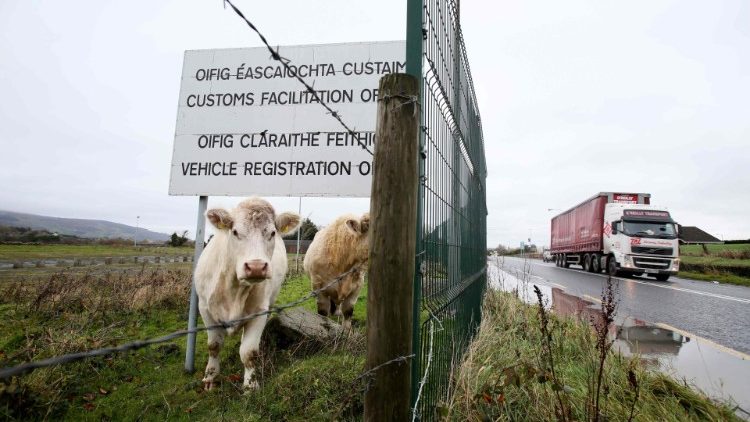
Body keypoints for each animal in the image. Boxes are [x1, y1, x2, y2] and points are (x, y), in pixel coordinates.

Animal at [195, 197, 302, 390]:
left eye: (272, 233)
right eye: (235, 232)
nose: (256, 267)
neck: (234, 289)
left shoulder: (259, 311)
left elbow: (249, 352)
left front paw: (250, 386)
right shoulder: (205, 309)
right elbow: (214, 345)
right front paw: (210, 377)